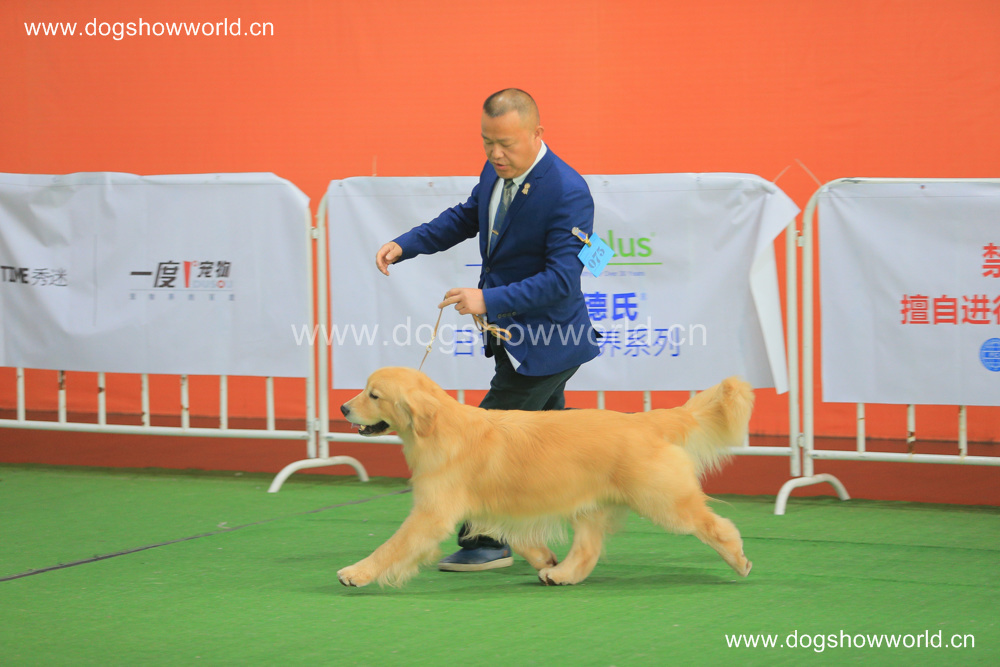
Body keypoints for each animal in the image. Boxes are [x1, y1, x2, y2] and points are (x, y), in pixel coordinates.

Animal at [337, 367, 754, 588]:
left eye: (373, 395)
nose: (342, 407)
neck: (440, 428)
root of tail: (645, 420)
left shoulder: (431, 513)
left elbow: (392, 546)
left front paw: (356, 572)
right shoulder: (494, 508)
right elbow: (519, 539)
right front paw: (543, 558)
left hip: (663, 501)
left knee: (715, 525)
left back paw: (739, 560)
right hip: (590, 505)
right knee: (587, 549)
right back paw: (562, 573)